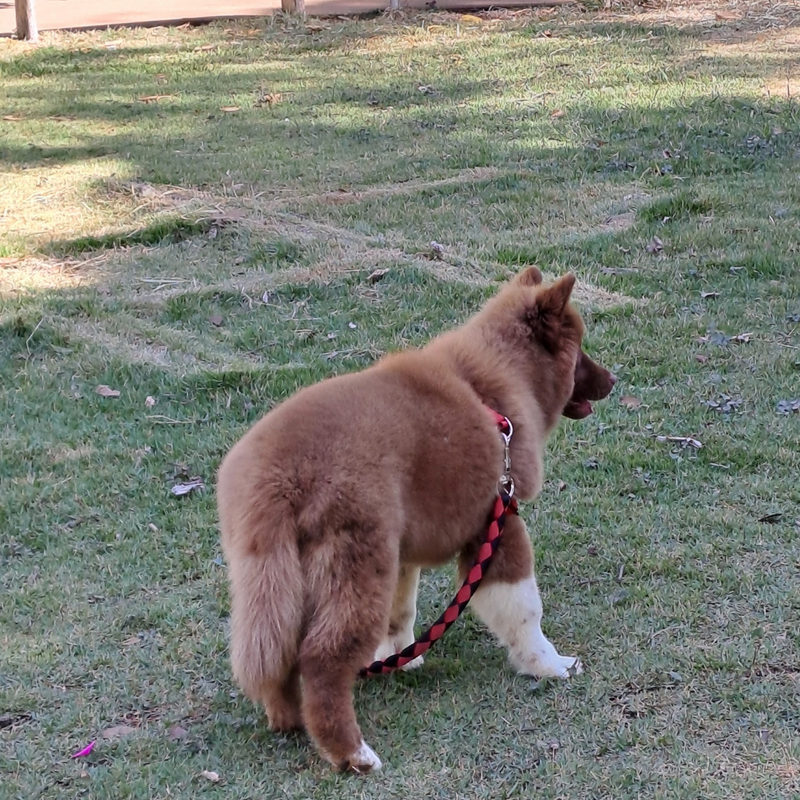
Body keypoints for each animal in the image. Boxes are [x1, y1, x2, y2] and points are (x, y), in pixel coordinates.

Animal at [216, 270, 616, 776]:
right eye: (579, 349)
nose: (613, 379)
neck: (491, 383)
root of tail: (276, 478)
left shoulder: (403, 551)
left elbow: (399, 614)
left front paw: (402, 659)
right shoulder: (496, 524)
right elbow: (525, 608)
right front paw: (549, 665)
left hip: (281, 573)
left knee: (280, 650)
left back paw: (289, 717)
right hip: (356, 562)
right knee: (321, 658)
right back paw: (351, 753)